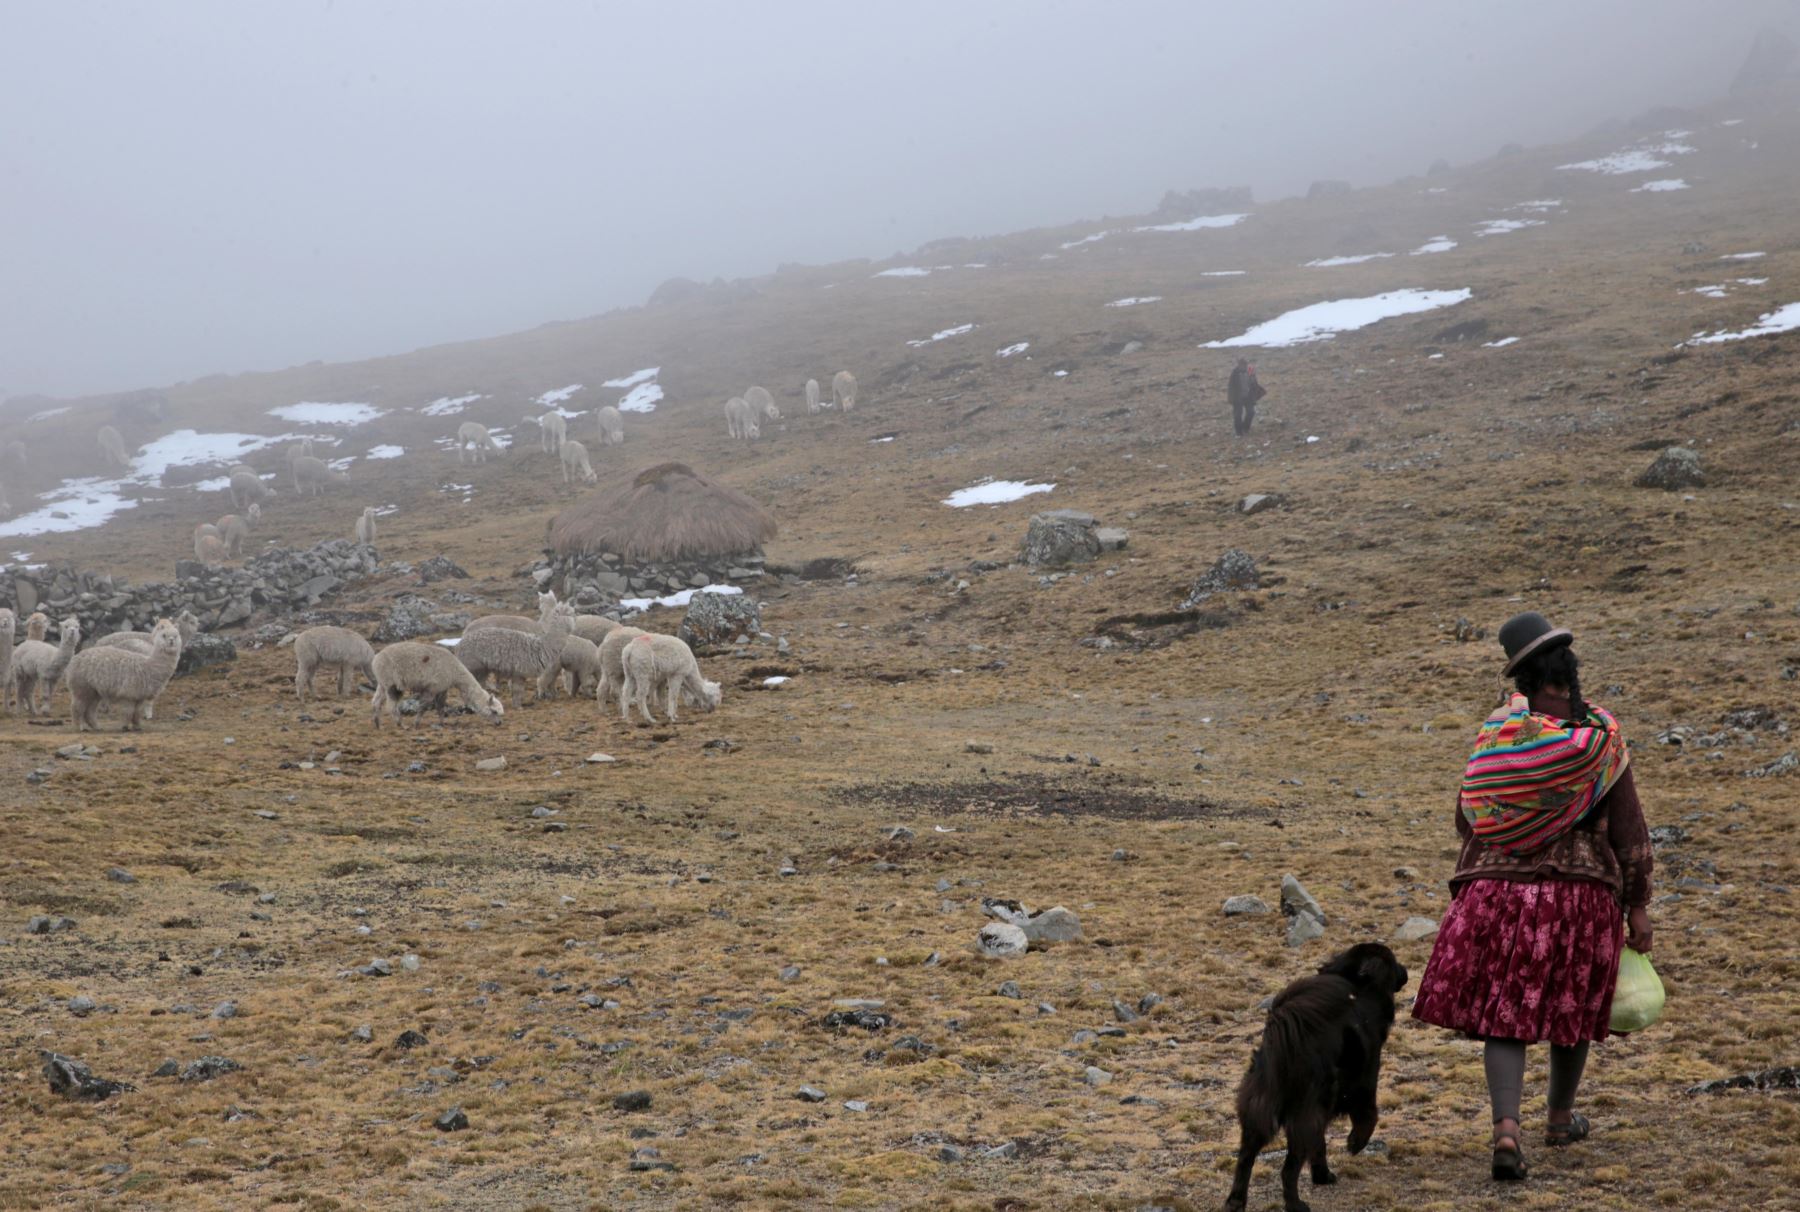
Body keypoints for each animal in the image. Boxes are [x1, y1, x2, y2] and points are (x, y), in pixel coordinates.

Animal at [1224, 943, 1404, 1210]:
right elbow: (1369, 1115)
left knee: (1245, 1159)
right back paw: (1295, 1204)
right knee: (1288, 1170)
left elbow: (1320, 1145)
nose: (1406, 972)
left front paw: (1322, 1175)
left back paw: (1235, 1202)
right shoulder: (1365, 1078)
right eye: (1393, 960)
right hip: (1304, 1116)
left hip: (1259, 1112)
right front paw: (1355, 1144)